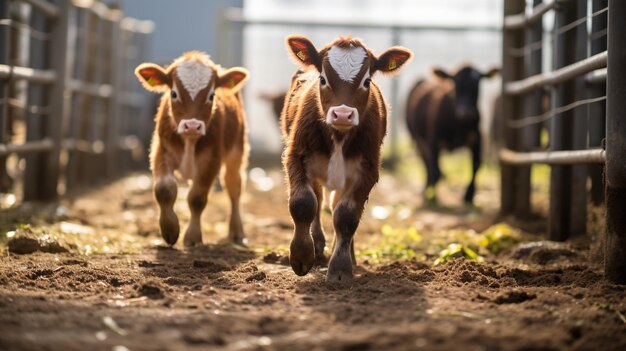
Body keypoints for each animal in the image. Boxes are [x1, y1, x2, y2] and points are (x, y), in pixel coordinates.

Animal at [135, 51, 249, 248]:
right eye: (174, 93)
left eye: (211, 95)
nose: (193, 126)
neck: (190, 141)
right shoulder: (161, 151)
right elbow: (164, 189)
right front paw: (170, 230)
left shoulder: (211, 161)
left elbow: (197, 198)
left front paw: (193, 237)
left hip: (237, 150)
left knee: (234, 186)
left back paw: (236, 232)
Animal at [280, 35, 412, 284]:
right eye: (323, 79)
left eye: (366, 81)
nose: (342, 114)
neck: (339, 137)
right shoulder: (296, 156)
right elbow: (304, 203)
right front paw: (302, 255)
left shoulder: (367, 171)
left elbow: (347, 216)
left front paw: (341, 268)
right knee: (319, 198)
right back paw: (318, 244)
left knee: (336, 207)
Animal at [404, 65, 498, 206]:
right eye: (456, 83)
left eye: (477, 84)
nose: (466, 112)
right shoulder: (433, 140)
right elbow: (434, 170)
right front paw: (432, 195)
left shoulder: (477, 138)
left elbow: (476, 165)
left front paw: (469, 195)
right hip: (417, 138)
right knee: (426, 162)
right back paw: (427, 188)